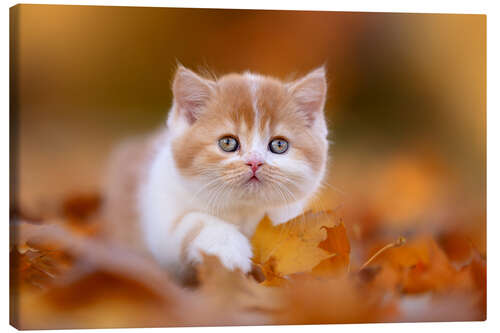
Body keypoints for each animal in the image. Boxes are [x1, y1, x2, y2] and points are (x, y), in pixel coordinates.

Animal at [103, 65, 330, 280]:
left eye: (279, 145)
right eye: (228, 143)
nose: (255, 162)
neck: (243, 210)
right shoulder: (160, 217)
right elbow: (192, 221)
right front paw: (229, 249)